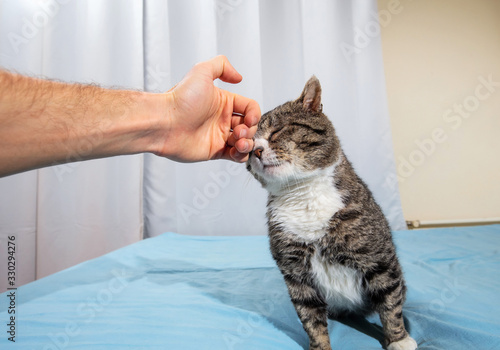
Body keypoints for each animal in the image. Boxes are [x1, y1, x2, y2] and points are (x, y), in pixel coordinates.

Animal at [247, 77, 418, 350]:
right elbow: (310, 318)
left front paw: (398, 338)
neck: (303, 194)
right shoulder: (296, 274)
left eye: (277, 131)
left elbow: (390, 302)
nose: (256, 151)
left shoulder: (379, 259)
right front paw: (320, 346)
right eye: (247, 144)